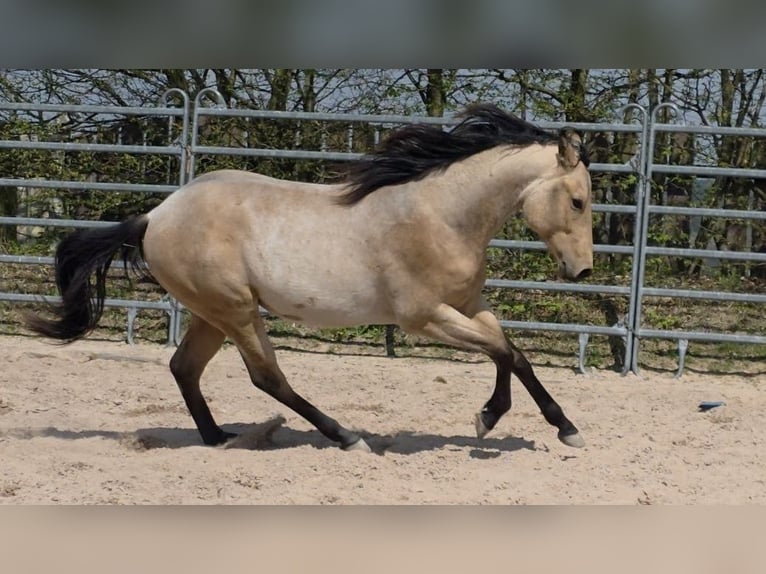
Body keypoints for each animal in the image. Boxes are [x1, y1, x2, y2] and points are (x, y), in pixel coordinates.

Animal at [27, 104, 593, 453]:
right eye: (579, 200)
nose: (583, 269)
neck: (441, 216)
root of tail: (155, 216)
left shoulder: (470, 305)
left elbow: (513, 352)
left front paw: (564, 428)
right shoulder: (424, 317)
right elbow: (501, 352)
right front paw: (490, 418)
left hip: (212, 312)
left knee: (184, 368)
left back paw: (218, 438)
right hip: (235, 310)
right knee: (267, 377)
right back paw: (345, 436)